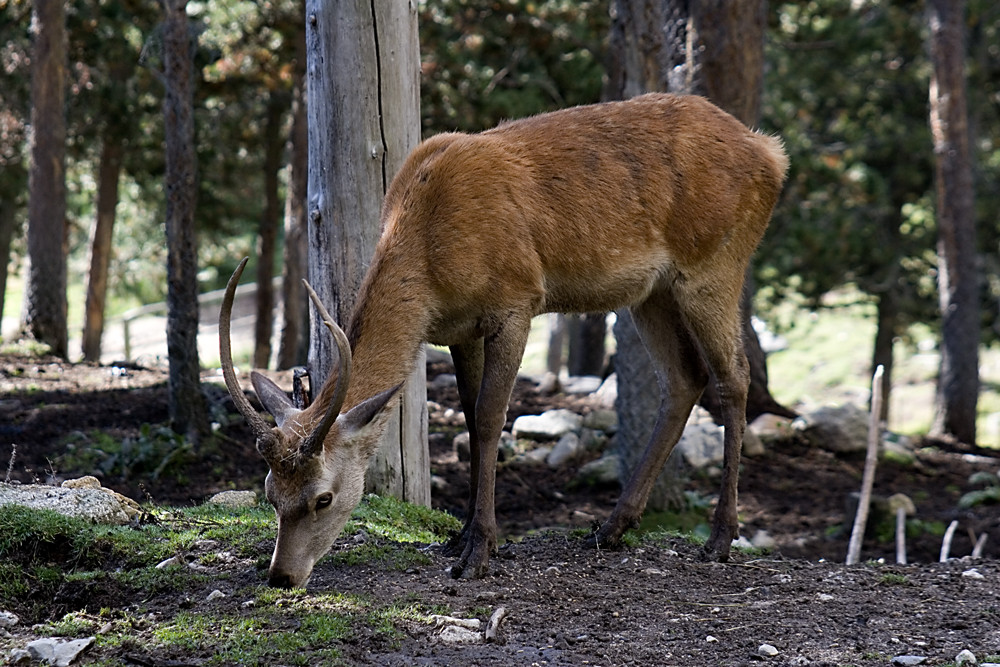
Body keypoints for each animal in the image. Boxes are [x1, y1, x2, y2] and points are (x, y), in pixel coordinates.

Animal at [219, 94, 788, 588]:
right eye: (270, 493)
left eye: (323, 497)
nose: (281, 575)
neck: (430, 262)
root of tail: (772, 152)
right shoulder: (458, 330)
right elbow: (470, 420)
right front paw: (460, 536)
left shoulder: (517, 301)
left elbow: (493, 416)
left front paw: (480, 551)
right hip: (651, 292)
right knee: (684, 377)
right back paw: (611, 527)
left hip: (714, 262)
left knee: (733, 375)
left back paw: (719, 539)